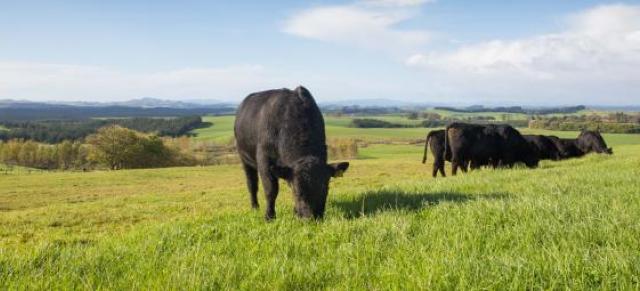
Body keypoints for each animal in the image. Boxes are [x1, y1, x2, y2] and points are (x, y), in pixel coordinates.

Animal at [234, 86, 348, 221]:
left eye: (325, 188)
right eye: (297, 191)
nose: (311, 217)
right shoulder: (264, 159)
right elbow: (271, 189)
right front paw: (269, 216)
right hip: (244, 158)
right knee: (252, 184)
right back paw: (255, 207)